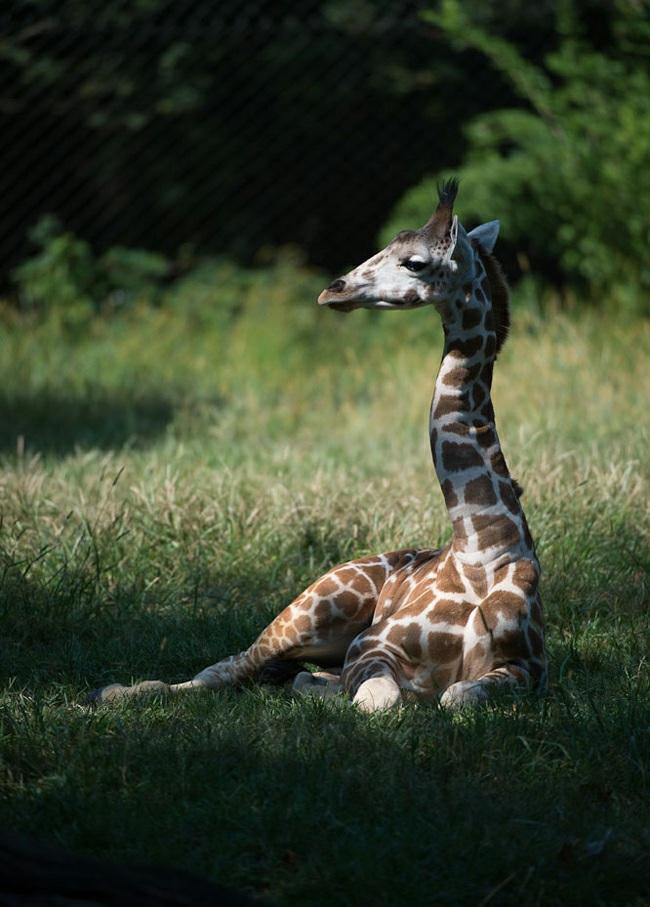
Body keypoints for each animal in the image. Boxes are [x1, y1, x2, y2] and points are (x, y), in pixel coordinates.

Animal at [90, 181, 540, 712]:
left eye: (413, 262)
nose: (333, 289)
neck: (480, 548)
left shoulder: (528, 667)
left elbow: (455, 695)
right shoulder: (371, 647)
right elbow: (383, 699)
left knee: (284, 675)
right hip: (310, 610)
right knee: (224, 669)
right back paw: (112, 691)